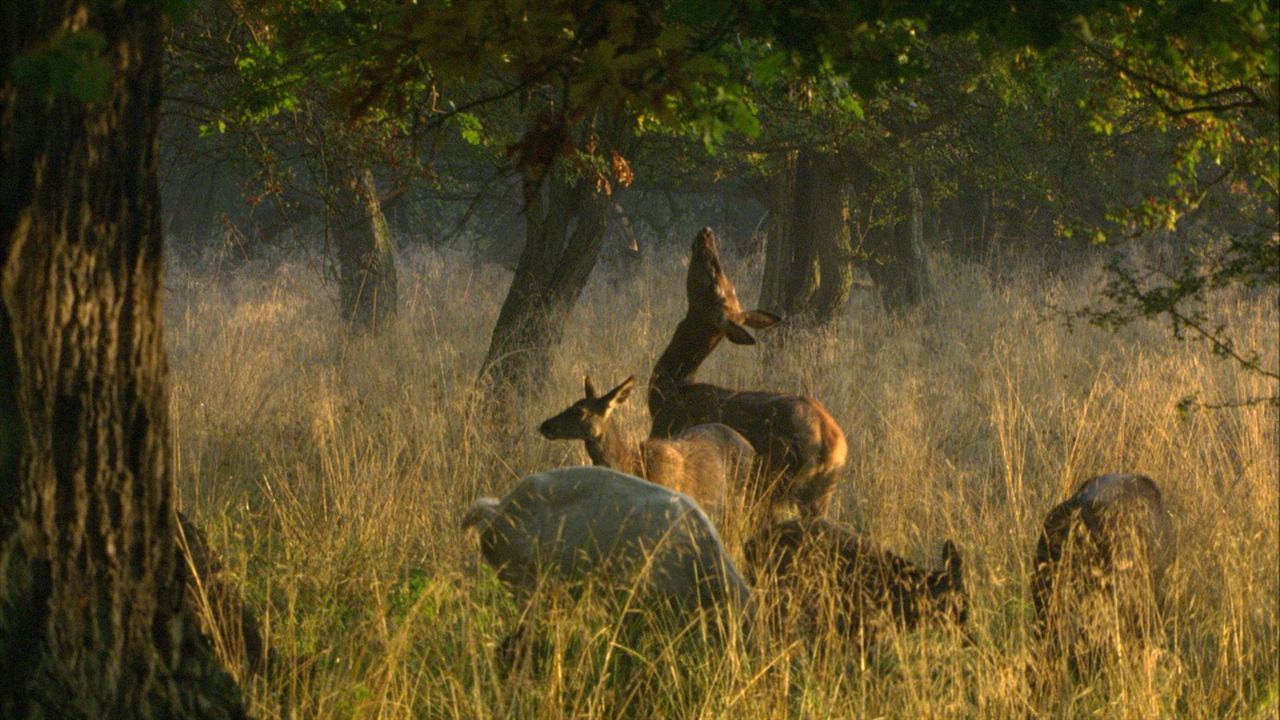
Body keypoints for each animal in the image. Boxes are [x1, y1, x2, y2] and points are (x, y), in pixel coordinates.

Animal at [650, 228, 849, 515]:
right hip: (820, 495)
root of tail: (829, 445)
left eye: (714, 283)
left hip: (775, 482)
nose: (706, 233)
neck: (668, 391)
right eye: (726, 285)